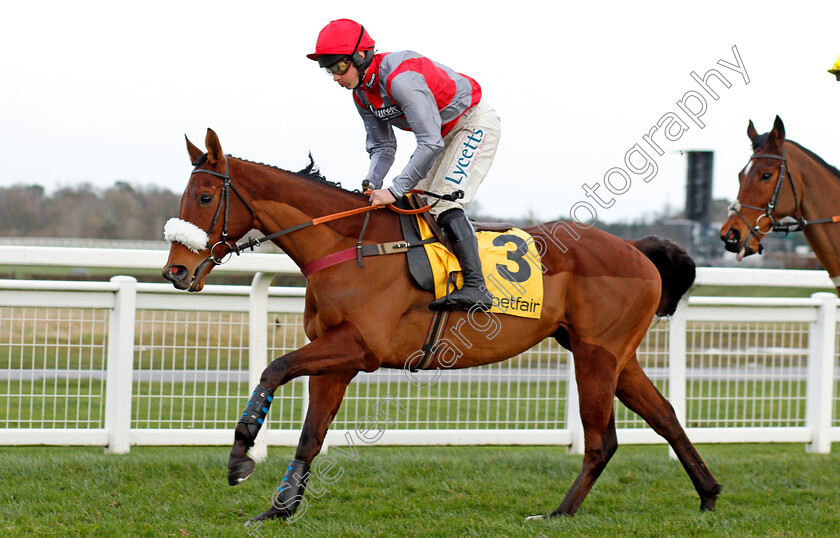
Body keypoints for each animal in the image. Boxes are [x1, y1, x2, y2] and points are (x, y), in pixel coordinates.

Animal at [161, 129, 720, 520]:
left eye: (205, 198)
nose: (175, 272)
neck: (351, 246)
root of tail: (635, 247)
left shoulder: (360, 348)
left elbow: (273, 369)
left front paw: (241, 455)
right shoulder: (335, 356)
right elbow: (310, 436)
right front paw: (278, 509)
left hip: (596, 354)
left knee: (602, 440)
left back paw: (558, 514)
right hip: (614, 356)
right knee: (666, 415)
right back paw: (709, 495)